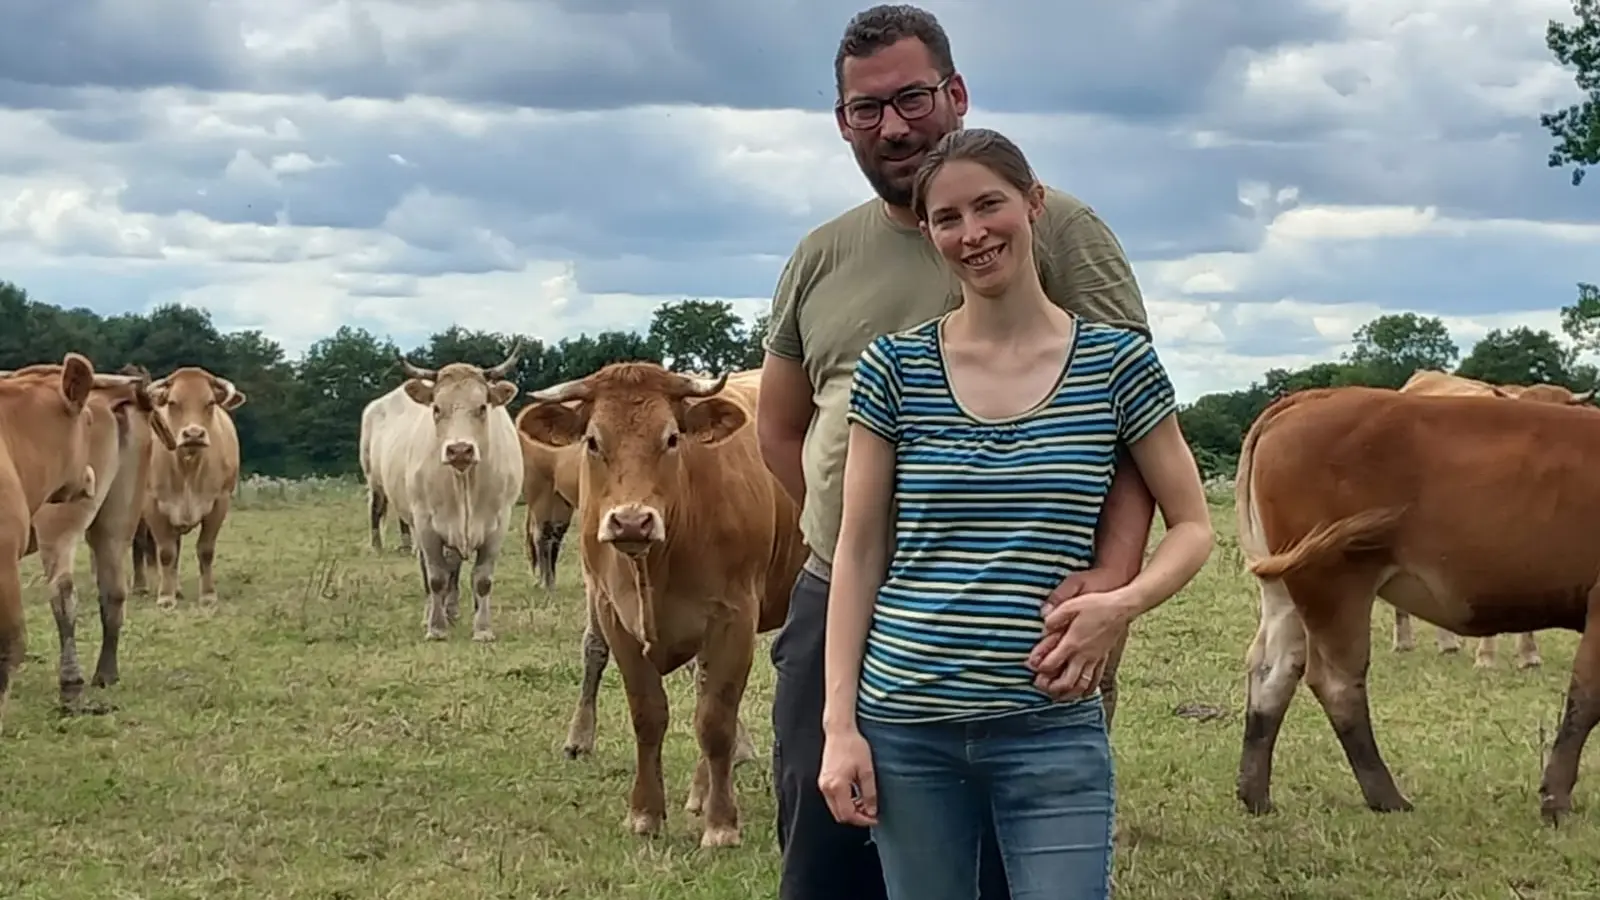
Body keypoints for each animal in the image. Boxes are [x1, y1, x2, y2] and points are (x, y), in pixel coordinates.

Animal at [135, 366, 246, 608]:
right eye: (173, 402)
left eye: (210, 402)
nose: (194, 434)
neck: (188, 466)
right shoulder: (152, 504)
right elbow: (166, 552)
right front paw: (165, 597)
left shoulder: (220, 502)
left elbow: (205, 550)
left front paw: (208, 595)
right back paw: (141, 586)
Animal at [368, 341, 524, 637]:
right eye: (437, 409)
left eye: (482, 407)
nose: (459, 450)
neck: (464, 481)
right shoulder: (426, 524)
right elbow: (436, 578)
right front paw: (436, 628)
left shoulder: (499, 523)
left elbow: (482, 579)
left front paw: (483, 630)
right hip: (380, 489)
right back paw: (432, 612)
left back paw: (451, 610)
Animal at [518, 360, 806, 845]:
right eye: (593, 441)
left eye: (672, 438)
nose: (632, 521)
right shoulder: (616, 618)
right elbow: (648, 715)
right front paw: (645, 814)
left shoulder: (734, 619)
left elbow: (715, 721)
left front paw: (721, 824)